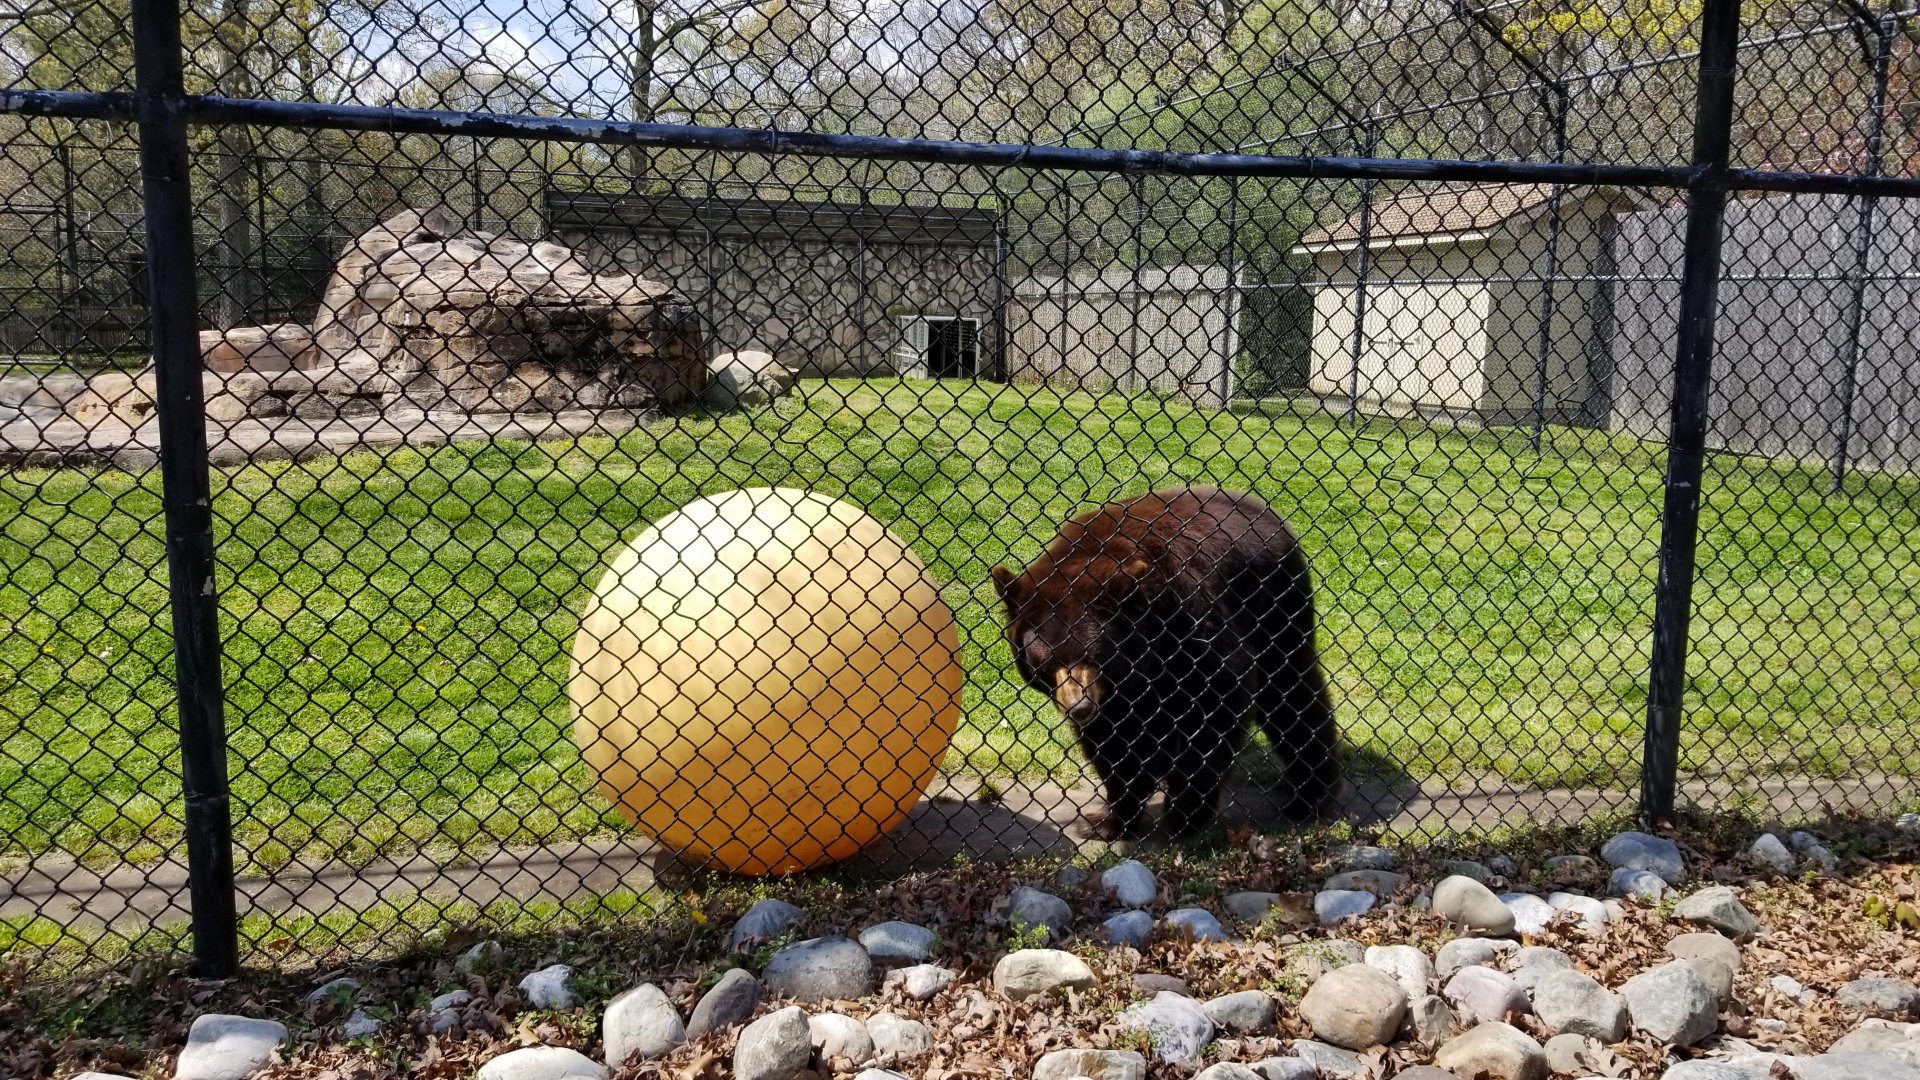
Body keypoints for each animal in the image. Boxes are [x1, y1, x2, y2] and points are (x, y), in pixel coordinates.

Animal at [990, 485, 1339, 839]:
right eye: (1048, 662)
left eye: (1093, 655)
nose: (1080, 707)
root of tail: (1261, 508)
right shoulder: (1115, 691)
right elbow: (1115, 742)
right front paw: (1107, 820)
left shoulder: (1192, 613)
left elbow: (1214, 703)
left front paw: (1183, 815)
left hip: (1276, 602)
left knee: (1290, 692)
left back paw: (1309, 796)